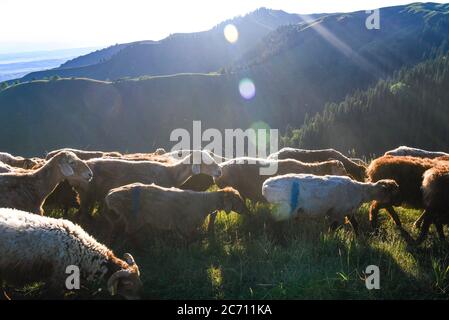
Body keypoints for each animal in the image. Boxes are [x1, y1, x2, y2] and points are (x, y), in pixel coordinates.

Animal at [260, 174, 398, 234]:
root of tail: (266, 185)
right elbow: (333, 227)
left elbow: (355, 224)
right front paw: (331, 238)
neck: (361, 192)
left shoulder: (348, 211)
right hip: (283, 207)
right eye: (393, 191)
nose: (398, 203)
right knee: (272, 222)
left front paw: (358, 237)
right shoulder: (337, 212)